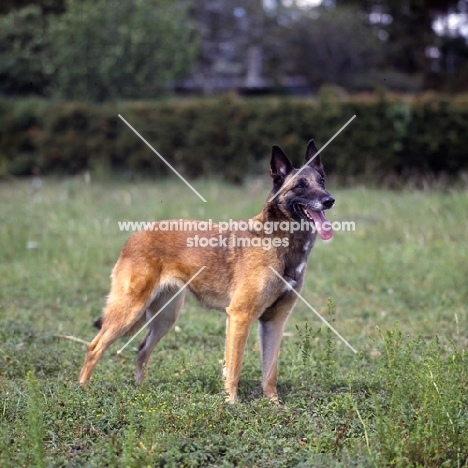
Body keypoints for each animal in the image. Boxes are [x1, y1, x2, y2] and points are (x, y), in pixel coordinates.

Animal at [81, 141, 336, 404]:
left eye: (322, 180)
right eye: (300, 185)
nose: (329, 200)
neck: (280, 241)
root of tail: (134, 236)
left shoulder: (274, 321)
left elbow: (270, 372)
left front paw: (274, 404)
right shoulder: (239, 316)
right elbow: (234, 367)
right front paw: (232, 403)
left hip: (165, 317)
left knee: (142, 349)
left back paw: (141, 390)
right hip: (130, 310)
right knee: (94, 347)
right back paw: (82, 391)